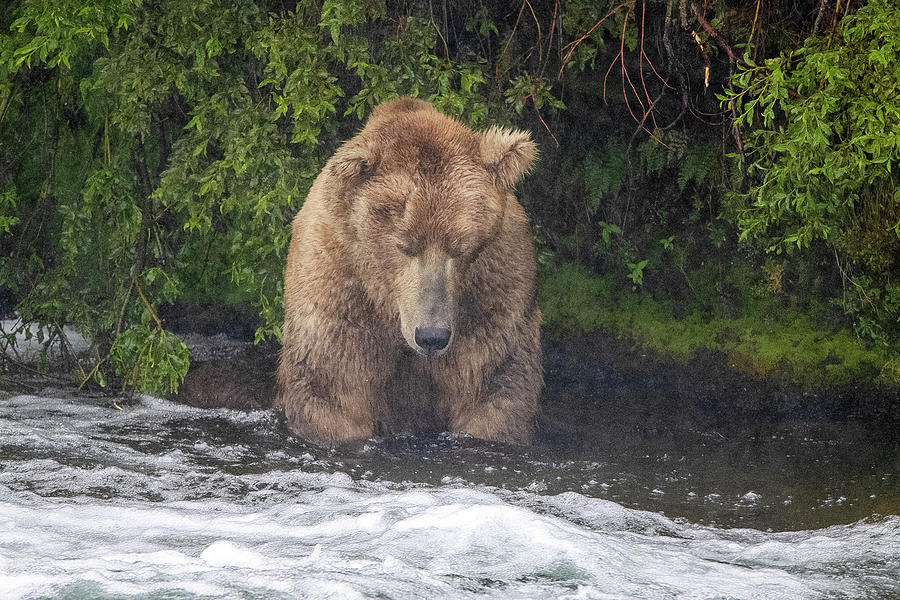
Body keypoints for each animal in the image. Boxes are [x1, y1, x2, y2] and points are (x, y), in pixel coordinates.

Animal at [274, 97, 540, 446]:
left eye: (461, 247)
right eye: (405, 245)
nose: (431, 336)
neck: (389, 306)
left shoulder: (494, 296)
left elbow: (493, 385)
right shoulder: (339, 292)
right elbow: (333, 389)